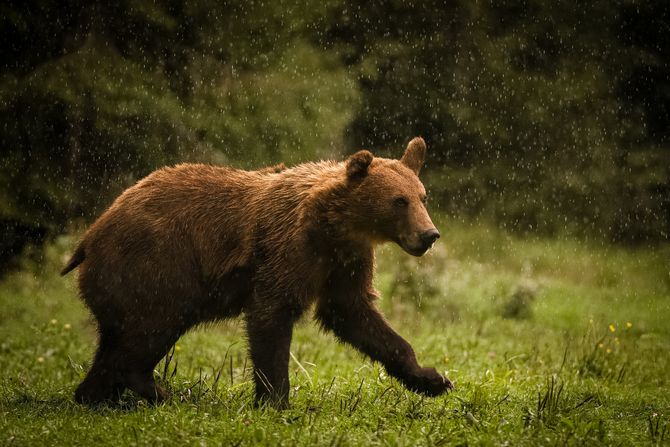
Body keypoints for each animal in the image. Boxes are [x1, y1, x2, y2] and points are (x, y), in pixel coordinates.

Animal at [61, 138, 456, 408]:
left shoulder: (346, 262)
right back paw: (162, 392)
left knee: (114, 341)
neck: (333, 227)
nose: (429, 235)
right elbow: (272, 317)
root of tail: (90, 236)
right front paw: (275, 400)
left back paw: (94, 395)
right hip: (154, 268)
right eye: (399, 201)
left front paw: (432, 379)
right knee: (150, 330)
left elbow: (355, 314)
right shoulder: (287, 251)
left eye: (422, 197)